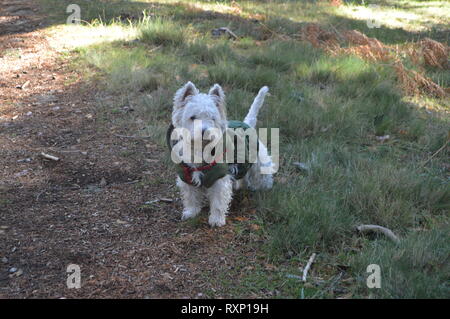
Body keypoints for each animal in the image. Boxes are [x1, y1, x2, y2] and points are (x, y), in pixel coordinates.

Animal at [170, 82, 272, 228]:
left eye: (212, 118)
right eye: (192, 117)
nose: (205, 131)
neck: (201, 149)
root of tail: (247, 124)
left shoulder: (219, 178)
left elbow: (218, 201)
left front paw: (216, 220)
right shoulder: (187, 176)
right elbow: (191, 197)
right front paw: (190, 213)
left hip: (258, 163)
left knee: (262, 177)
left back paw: (264, 189)